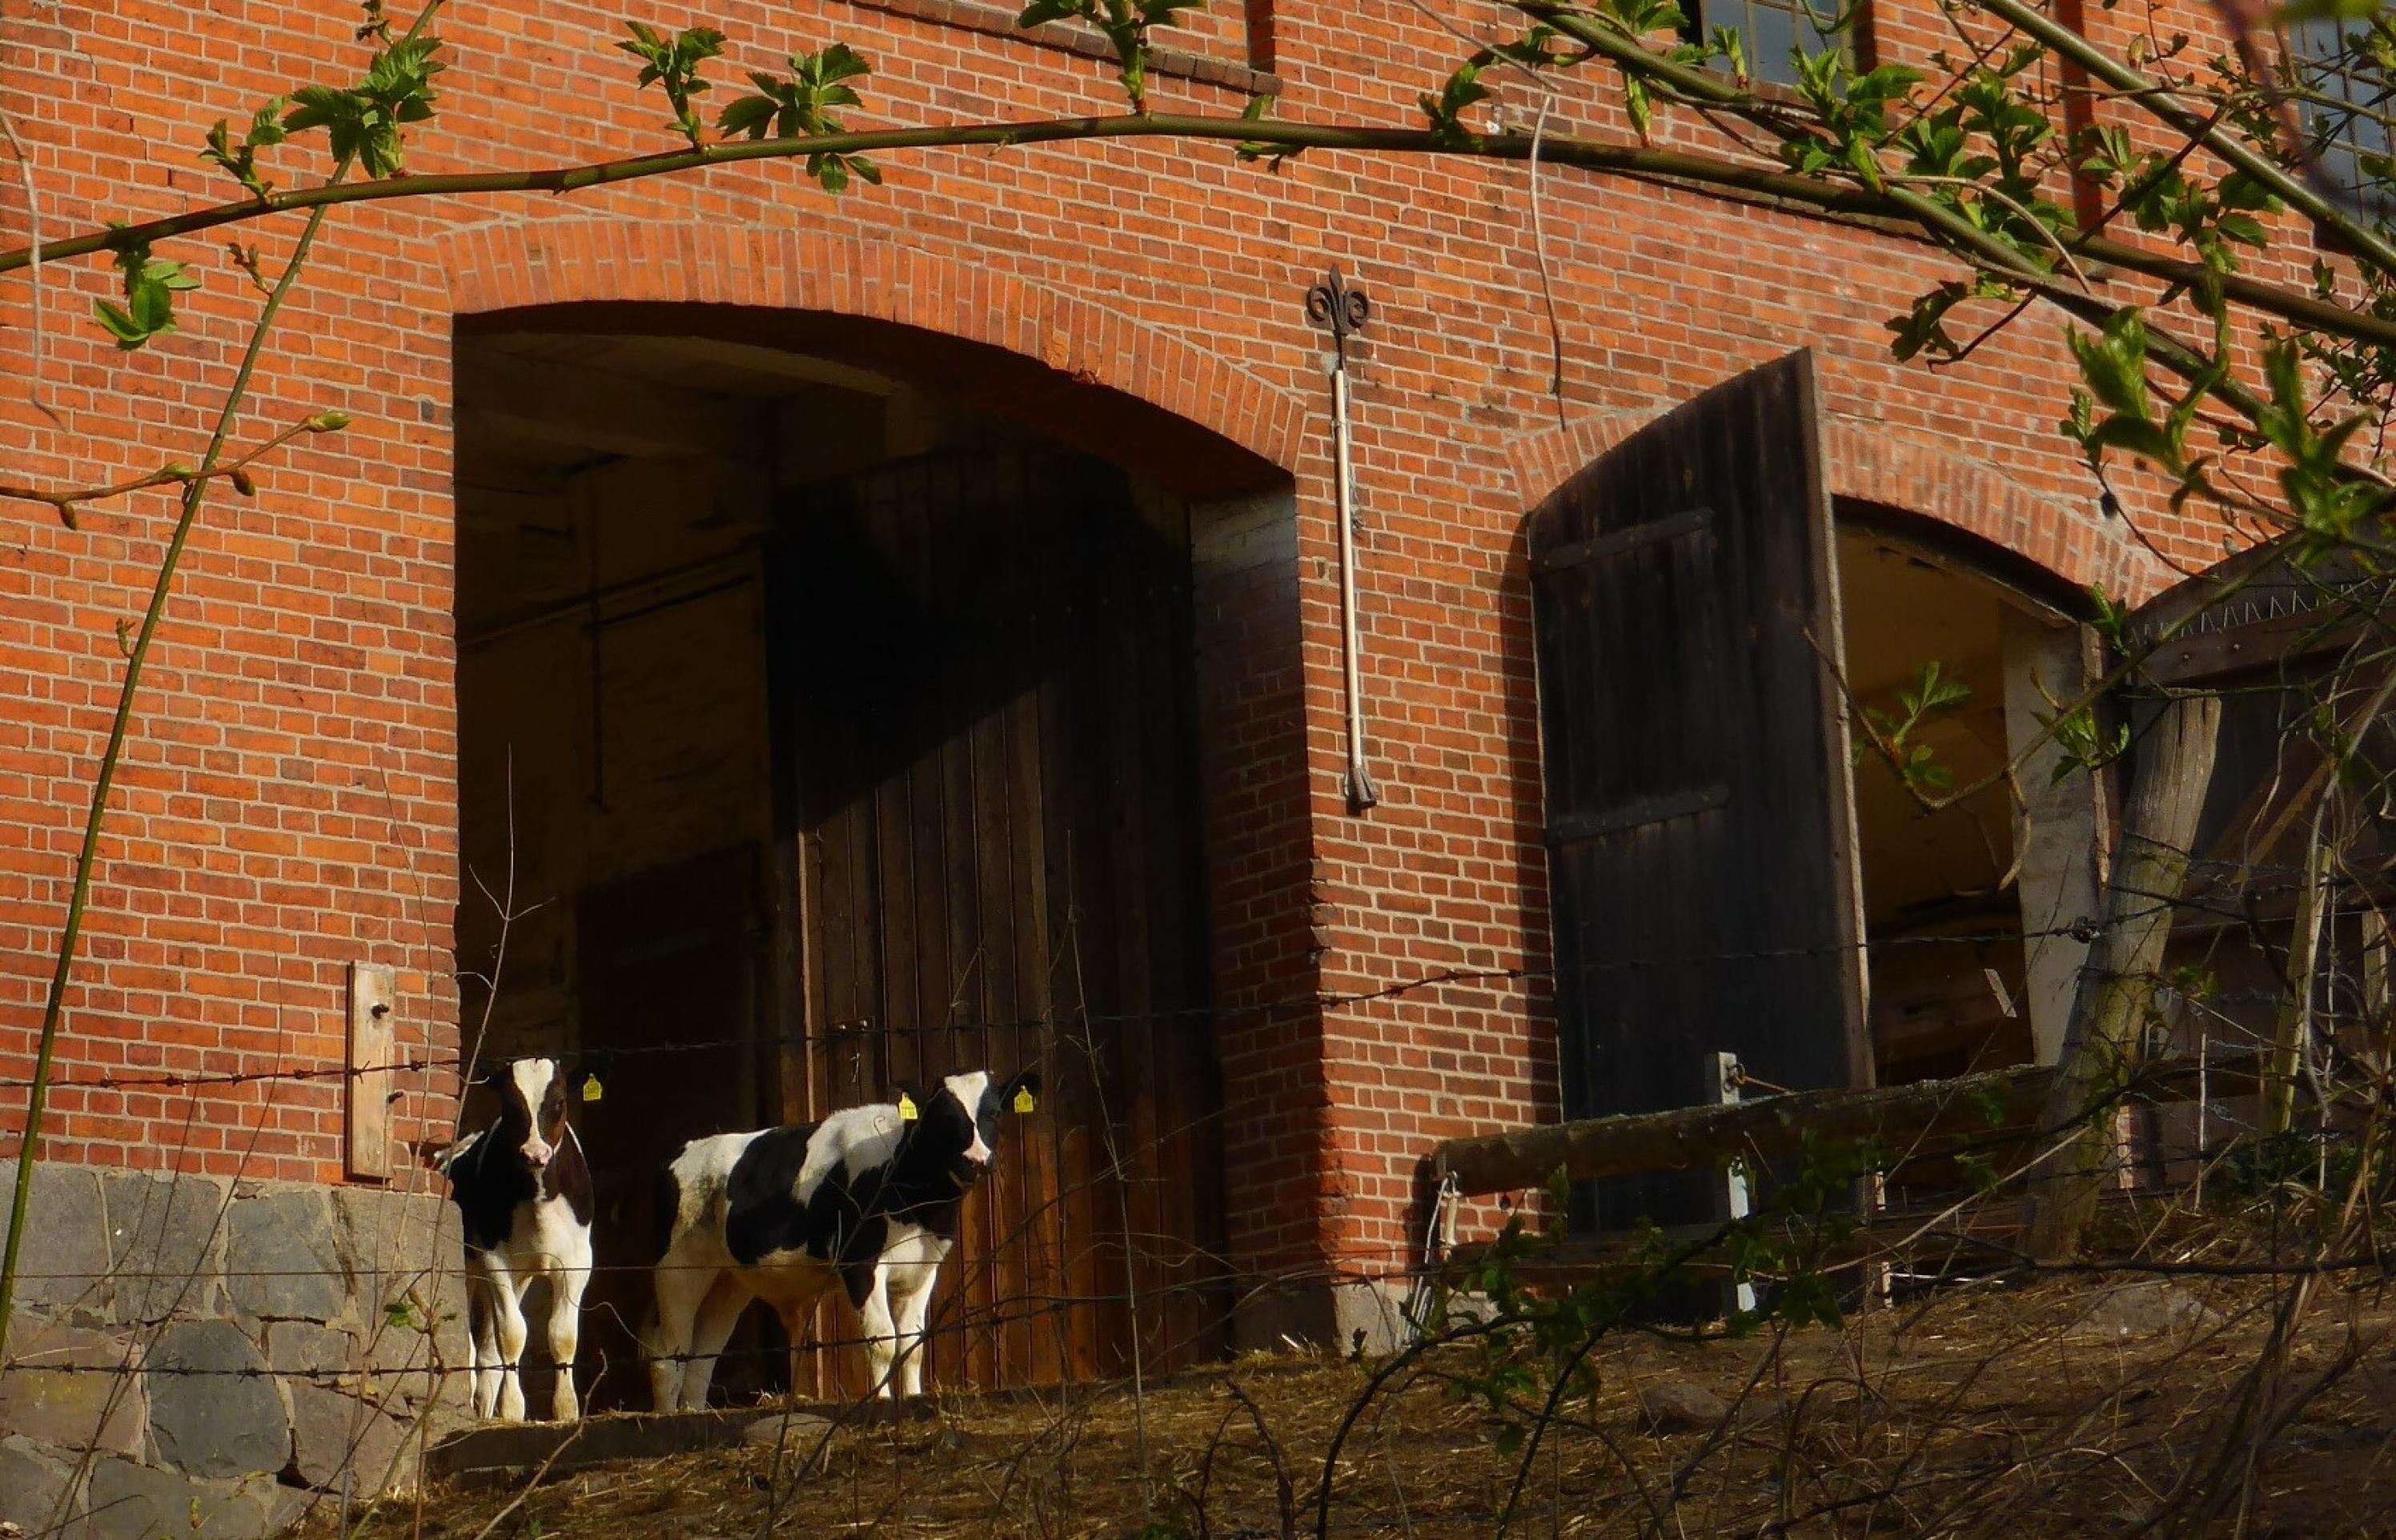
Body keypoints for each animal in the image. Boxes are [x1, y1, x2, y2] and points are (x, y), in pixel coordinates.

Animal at [438, 1058, 596, 1418]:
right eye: (510, 1107)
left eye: (559, 1102)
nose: (535, 1154)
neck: (538, 1196)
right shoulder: (495, 1260)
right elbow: (511, 1335)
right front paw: (511, 1410)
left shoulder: (578, 1262)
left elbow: (563, 1335)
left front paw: (566, 1410)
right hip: (471, 1268)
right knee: (476, 1346)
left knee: (487, 1352)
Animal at [642, 1068, 1034, 1418]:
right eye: (943, 1118)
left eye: (993, 1113)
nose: (977, 1161)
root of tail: (683, 1153)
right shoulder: (860, 1263)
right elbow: (882, 1341)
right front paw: (880, 1403)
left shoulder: (923, 1268)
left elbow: (912, 1344)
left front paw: (913, 1398)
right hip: (678, 1268)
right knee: (668, 1350)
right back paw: (667, 1416)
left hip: (729, 1280)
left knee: (702, 1352)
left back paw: (693, 1413)